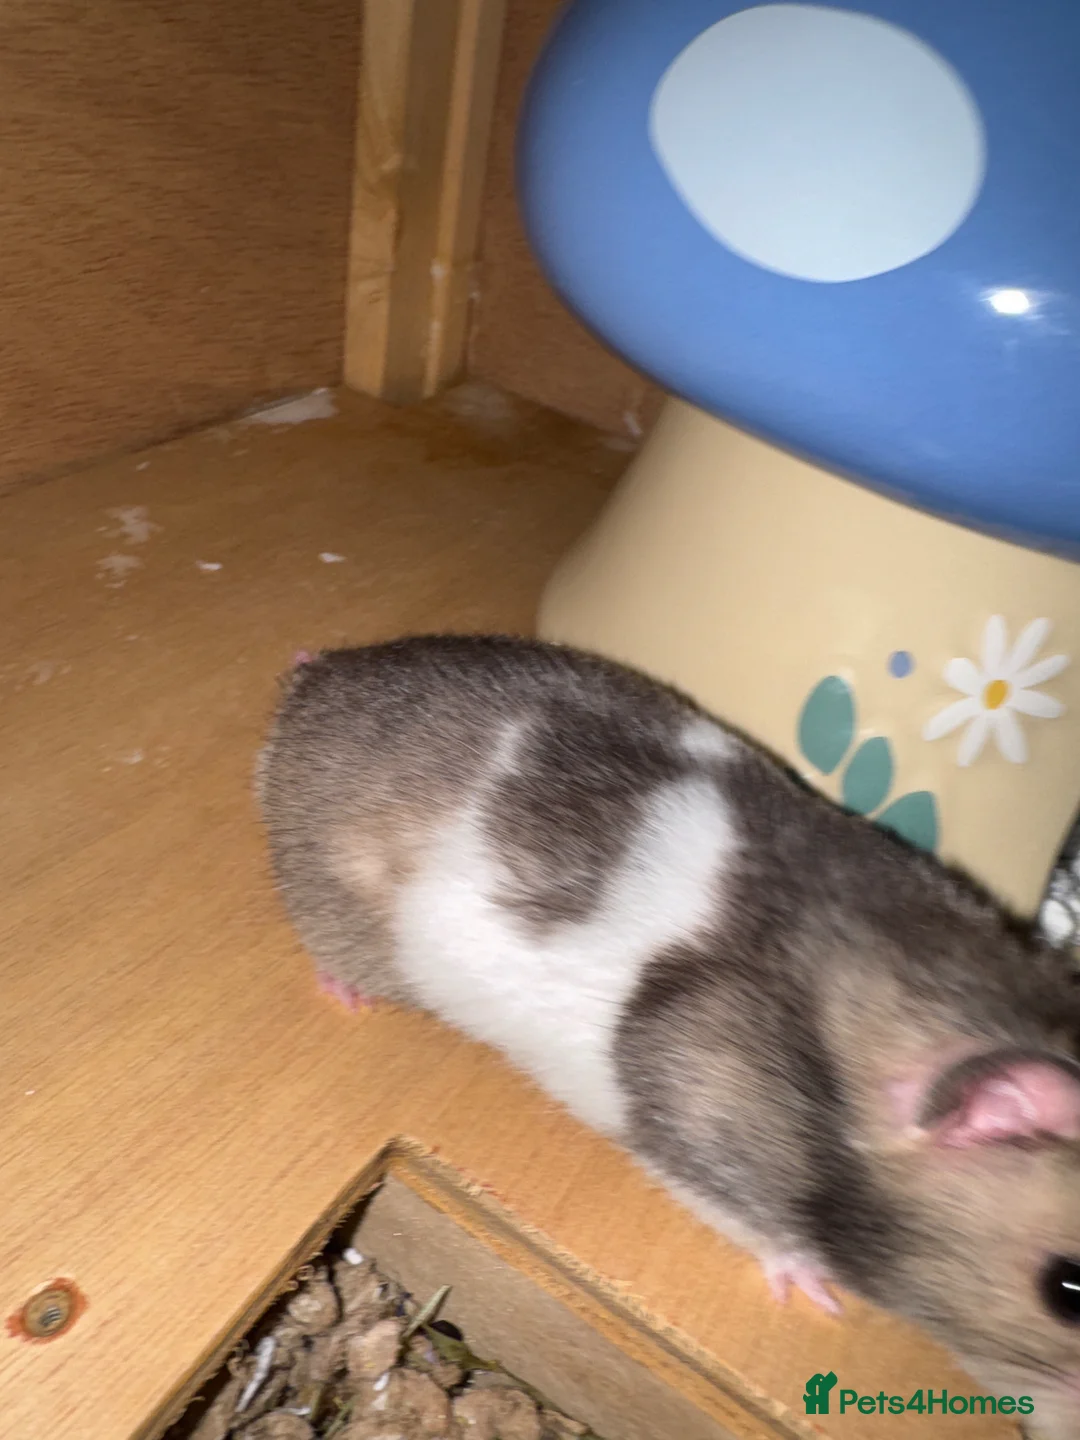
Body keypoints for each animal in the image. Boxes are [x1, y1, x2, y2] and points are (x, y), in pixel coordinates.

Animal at [256, 633, 1080, 1438]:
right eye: (1066, 1289)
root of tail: (315, 681)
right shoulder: (703, 1135)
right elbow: (766, 1232)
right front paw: (818, 1295)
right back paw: (347, 992)